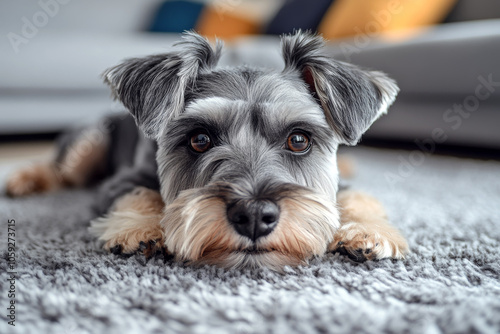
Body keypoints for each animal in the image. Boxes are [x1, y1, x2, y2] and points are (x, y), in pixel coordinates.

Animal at [5, 31, 408, 272]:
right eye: (199, 139)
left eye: (299, 139)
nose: (254, 216)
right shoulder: (120, 182)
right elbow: (139, 193)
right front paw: (140, 227)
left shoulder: (335, 188)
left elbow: (358, 198)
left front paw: (369, 232)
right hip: (89, 142)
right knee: (58, 168)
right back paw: (22, 179)